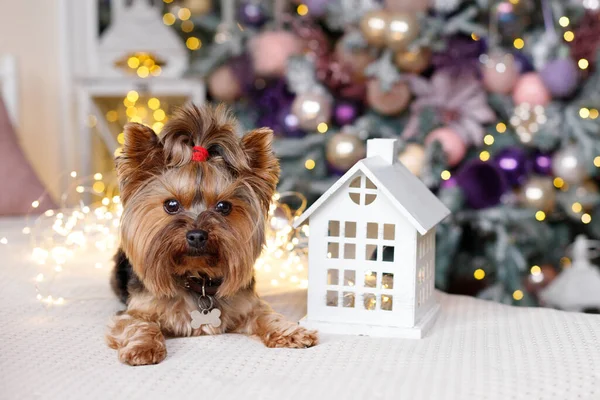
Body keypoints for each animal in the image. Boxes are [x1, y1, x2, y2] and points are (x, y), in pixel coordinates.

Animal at [106, 104, 318, 366]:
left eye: (223, 207)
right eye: (171, 205)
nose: (197, 235)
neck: (198, 279)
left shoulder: (247, 305)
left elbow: (268, 316)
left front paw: (292, 332)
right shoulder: (131, 313)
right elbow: (139, 325)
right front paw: (143, 347)